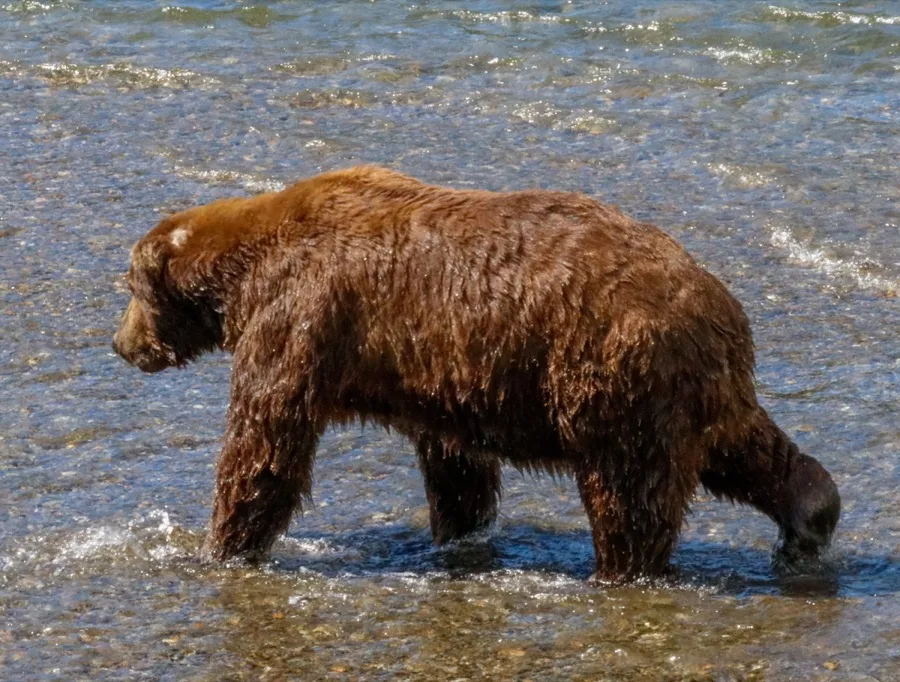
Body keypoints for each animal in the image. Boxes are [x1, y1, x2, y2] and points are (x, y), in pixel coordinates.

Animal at [112, 166, 840, 582]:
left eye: (131, 287)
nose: (121, 344)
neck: (244, 272)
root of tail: (714, 302)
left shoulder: (299, 317)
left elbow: (265, 444)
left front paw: (219, 546)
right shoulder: (440, 378)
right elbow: (455, 466)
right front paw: (459, 533)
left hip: (612, 376)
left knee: (629, 493)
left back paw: (619, 571)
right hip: (697, 389)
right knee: (751, 451)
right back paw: (809, 519)